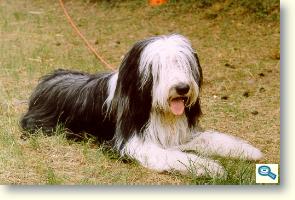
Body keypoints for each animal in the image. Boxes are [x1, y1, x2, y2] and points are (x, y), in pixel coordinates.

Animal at [19, 34, 262, 178]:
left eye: (183, 64)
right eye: (159, 67)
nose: (182, 88)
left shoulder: (180, 134)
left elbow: (209, 138)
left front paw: (247, 151)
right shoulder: (132, 143)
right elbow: (174, 156)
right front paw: (211, 167)